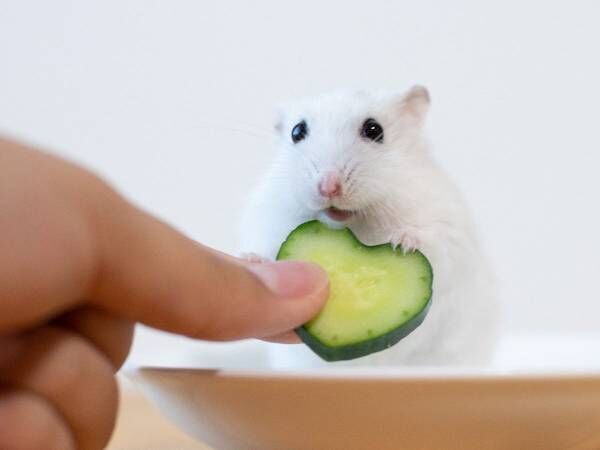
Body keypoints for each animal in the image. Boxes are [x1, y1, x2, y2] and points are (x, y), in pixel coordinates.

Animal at [239, 86, 498, 368]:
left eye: (374, 130)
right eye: (297, 132)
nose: (328, 187)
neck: (355, 223)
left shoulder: (451, 236)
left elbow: (433, 242)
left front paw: (403, 242)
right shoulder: (268, 222)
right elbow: (265, 247)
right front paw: (251, 260)